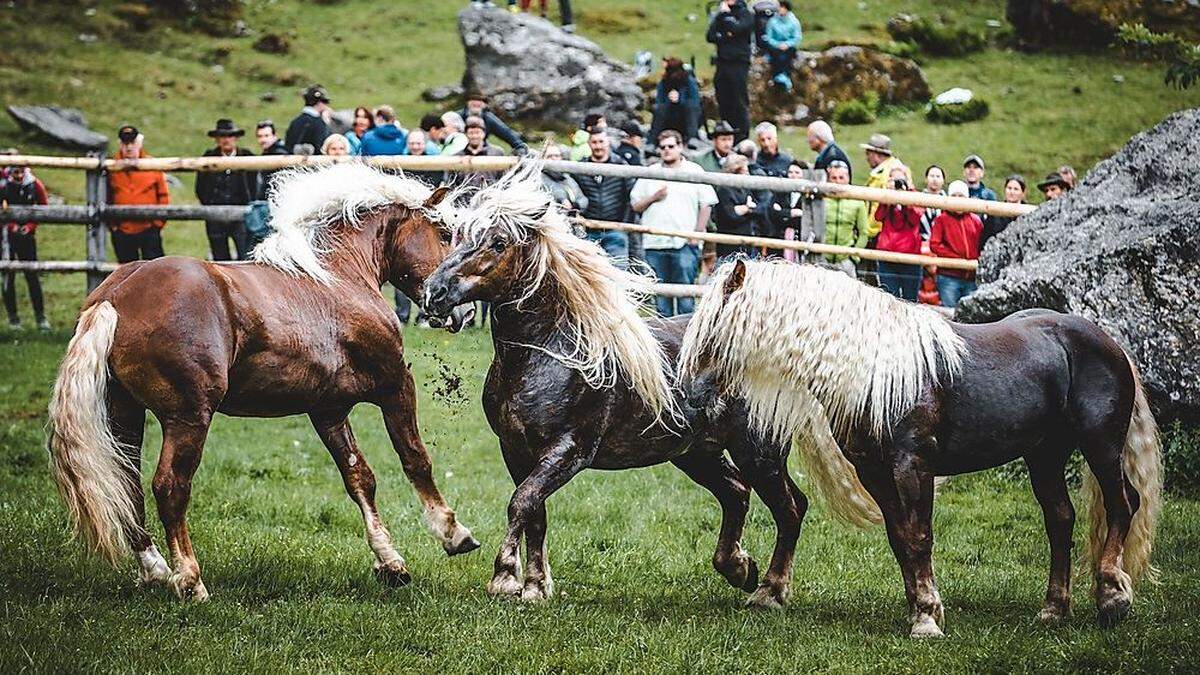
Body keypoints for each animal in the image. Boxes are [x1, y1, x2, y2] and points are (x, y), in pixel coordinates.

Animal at [46, 163, 477, 598]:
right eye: (444, 234)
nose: (465, 311)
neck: (339, 276)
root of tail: (113, 298)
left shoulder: (329, 410)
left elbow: (359, 477)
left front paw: (390, 562)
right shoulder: (394, 384)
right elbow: (415, 458)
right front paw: (453, 533)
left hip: (125, 412)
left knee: (127, 483)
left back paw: (156, 570)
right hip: (188, 418)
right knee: (169, 487)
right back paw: (191, 581)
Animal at [422, 164, 806, 605]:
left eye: (499, 242)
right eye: (457, 235)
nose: (434, 294)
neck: (547, 354)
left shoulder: (569, 451)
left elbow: (521, 503)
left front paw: (505, 577)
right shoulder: (516, 451)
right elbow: (536, 513)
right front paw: (535, 586)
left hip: (759, 453)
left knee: (790, 508)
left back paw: (770, 590)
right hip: (697, 453)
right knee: (737, 493)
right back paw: (739, 567)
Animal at [686, 258, 1161, 634]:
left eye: (713, 334)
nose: (692, 396)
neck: (877, 370)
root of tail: (1109, 343)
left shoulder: (913, 465)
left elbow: (919, 537)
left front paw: (928, 617)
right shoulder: (874, 471)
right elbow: (900, 539)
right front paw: (919, 608)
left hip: (1100, 446)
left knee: (1122, 504)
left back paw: (1112, 596)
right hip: (1044, 454)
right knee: (1060, 519)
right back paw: (1054, 609)